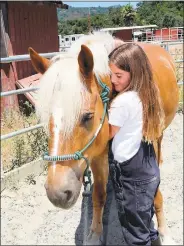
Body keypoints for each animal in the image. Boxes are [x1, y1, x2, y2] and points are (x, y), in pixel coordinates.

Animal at [28, 32, 178, 244]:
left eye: (87, 116)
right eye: (46, 117)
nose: (57, 193)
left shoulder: (150, 145)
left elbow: (155, 191)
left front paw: (165, 233)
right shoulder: (97, 155)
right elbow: (98, 195)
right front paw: (94, 234)